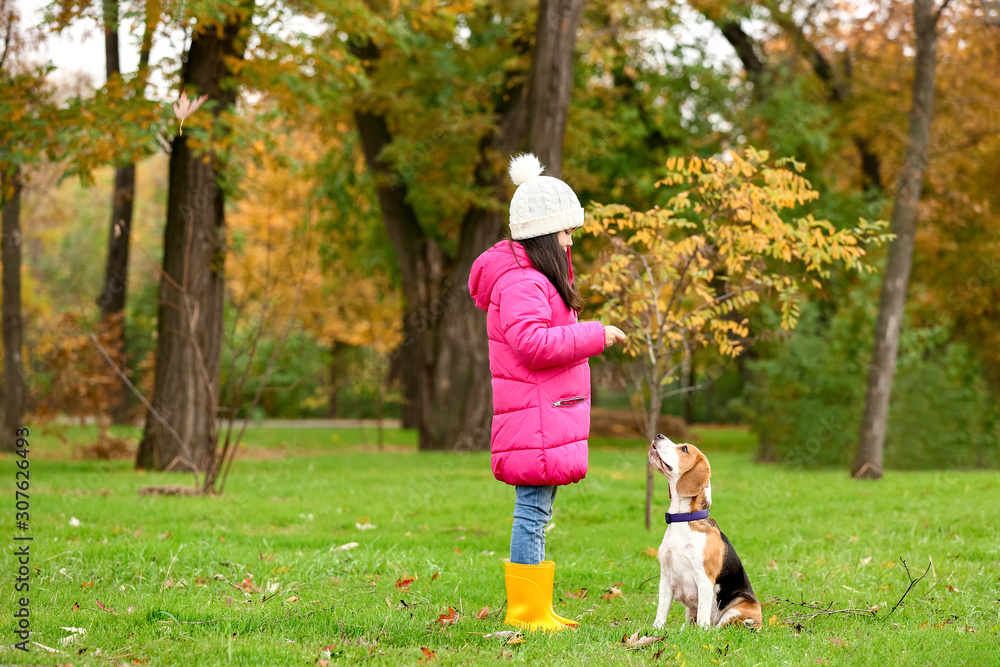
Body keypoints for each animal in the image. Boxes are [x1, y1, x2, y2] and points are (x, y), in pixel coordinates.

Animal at [644, 434, 760, 632]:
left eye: (684, 449)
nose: (659, 435)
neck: (683, 520)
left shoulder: (704, 580)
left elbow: (703, 614)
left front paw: (701, 633)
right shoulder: (665, 577)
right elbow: (661, 611)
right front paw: (656, 629)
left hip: (735, 611)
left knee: (718, 626)